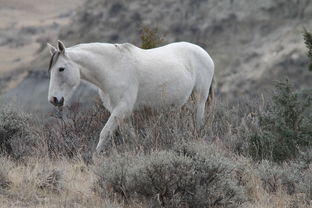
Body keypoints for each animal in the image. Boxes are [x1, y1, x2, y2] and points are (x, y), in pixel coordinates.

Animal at [47, 40, 214, 153]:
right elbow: (131, 136)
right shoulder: (120, 112)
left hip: (200, 100)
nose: (53, 99)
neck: (113, 68)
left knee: (198, 121)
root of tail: (204, 53)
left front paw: (95, 158)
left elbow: (105, 133)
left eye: (61, 69)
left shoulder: (122, 109)